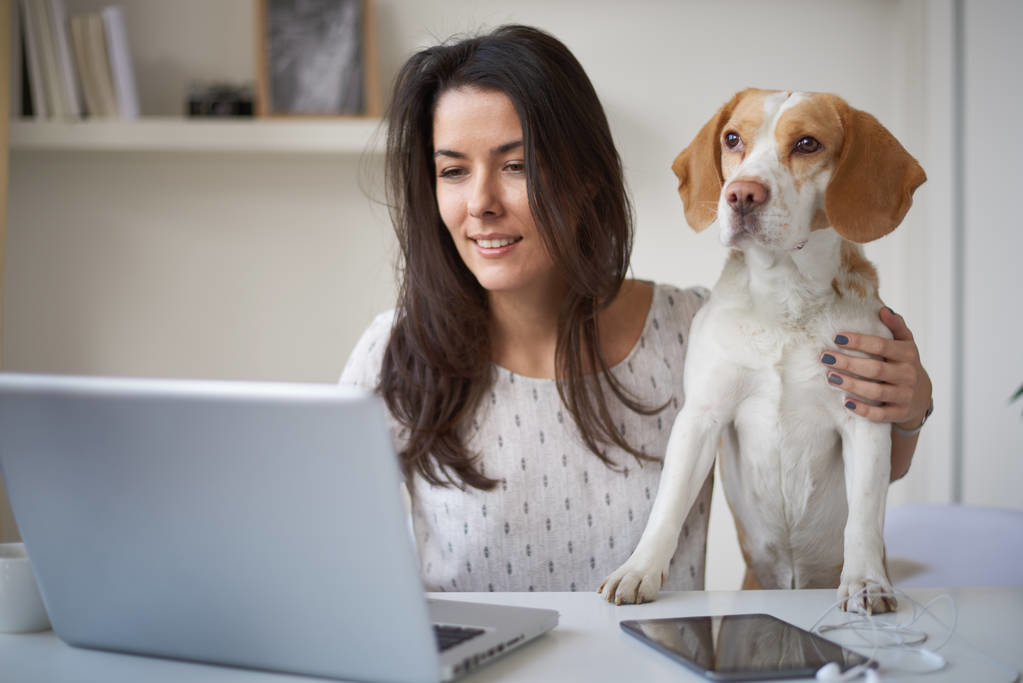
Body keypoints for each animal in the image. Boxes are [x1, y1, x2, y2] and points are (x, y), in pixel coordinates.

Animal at [597, 87, 928, 609]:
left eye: (808, 143)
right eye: (733, 139)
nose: (741, 194)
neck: (784, 300)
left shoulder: (865, 418)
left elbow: (864, 520)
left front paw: (866, 582)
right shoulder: (701, 416)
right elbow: (667, 507)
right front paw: (639, 570)